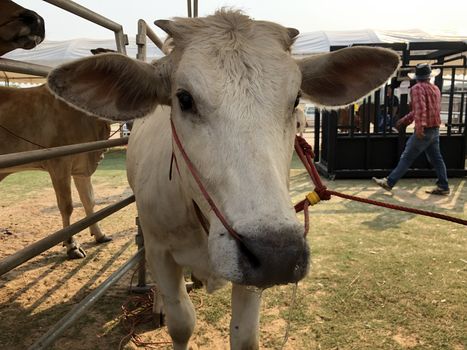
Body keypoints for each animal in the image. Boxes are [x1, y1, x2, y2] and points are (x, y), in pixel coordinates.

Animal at [0, 85, 111, 258]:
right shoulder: (60, 163)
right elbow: (67, 206)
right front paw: (71, 246)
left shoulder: (81, 166)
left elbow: (89, 200)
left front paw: (99, 234)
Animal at [46, 9, 398, 348]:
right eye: (184, 98)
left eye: (296, 99)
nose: (278, 254)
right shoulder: (161, 251)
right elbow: (181, 323)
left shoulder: (252, 277)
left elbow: (244, 336)